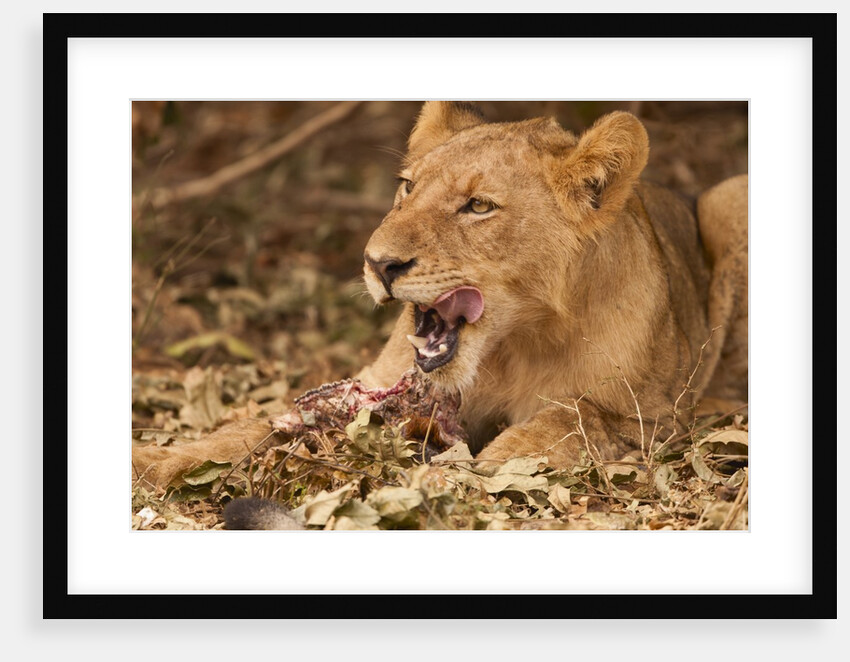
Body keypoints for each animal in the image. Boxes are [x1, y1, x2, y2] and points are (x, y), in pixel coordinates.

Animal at [132, 101, 748, 526]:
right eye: (407, 188)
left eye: (478, 206)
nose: (377, 263)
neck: (512, 345)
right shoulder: (372, 384)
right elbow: (251, 425)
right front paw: (153, 459)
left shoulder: (647, 420)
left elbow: (559, 424)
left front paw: (448, 478)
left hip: (730, 198)